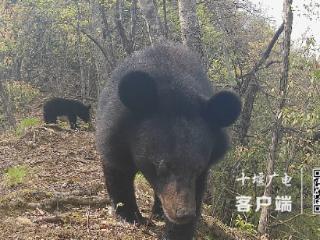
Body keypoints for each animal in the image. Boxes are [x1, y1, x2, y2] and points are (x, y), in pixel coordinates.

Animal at [96, 42, 241, 239]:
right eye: (162, 166)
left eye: (198, 168)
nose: (183, 213)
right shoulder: (115, 131)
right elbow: (117, 169)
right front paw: (130, 216)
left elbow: (198, 189)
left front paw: (179, 231)